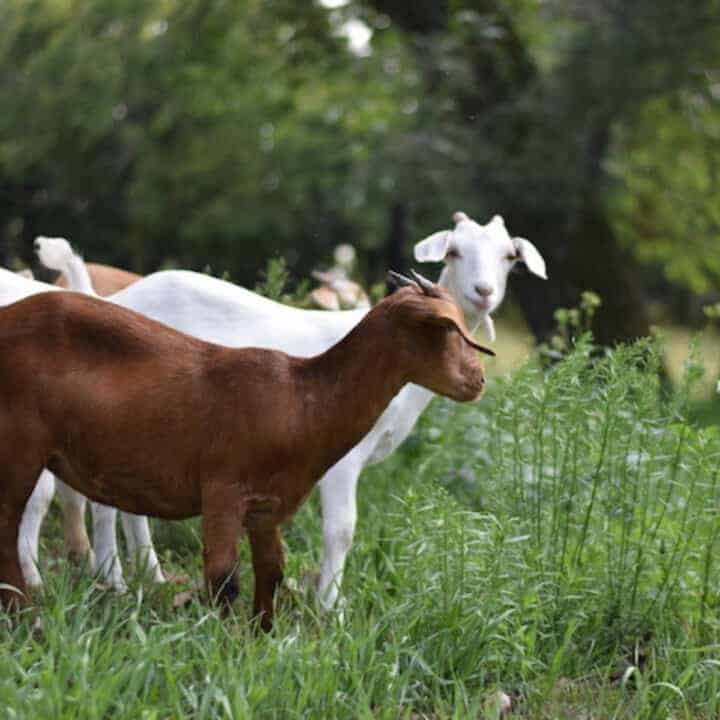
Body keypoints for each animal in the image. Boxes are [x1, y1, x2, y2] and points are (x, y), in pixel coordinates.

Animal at [0, 272, 492, 630]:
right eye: (446, 332)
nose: (479, 380)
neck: (303, 397)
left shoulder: (265, 505)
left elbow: (271, 571)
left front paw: (262, 637)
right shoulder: (223, 491)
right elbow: (223, 578)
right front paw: (223, 644)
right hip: (19, 447)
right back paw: (25, 614)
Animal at [22, 212, 546, 606]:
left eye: (509, 257)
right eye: (454, 251)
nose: (483, 292)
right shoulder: (340, 458)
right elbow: (341, 530)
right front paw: (330, 609)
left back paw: (147, 576)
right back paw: (112, 579)